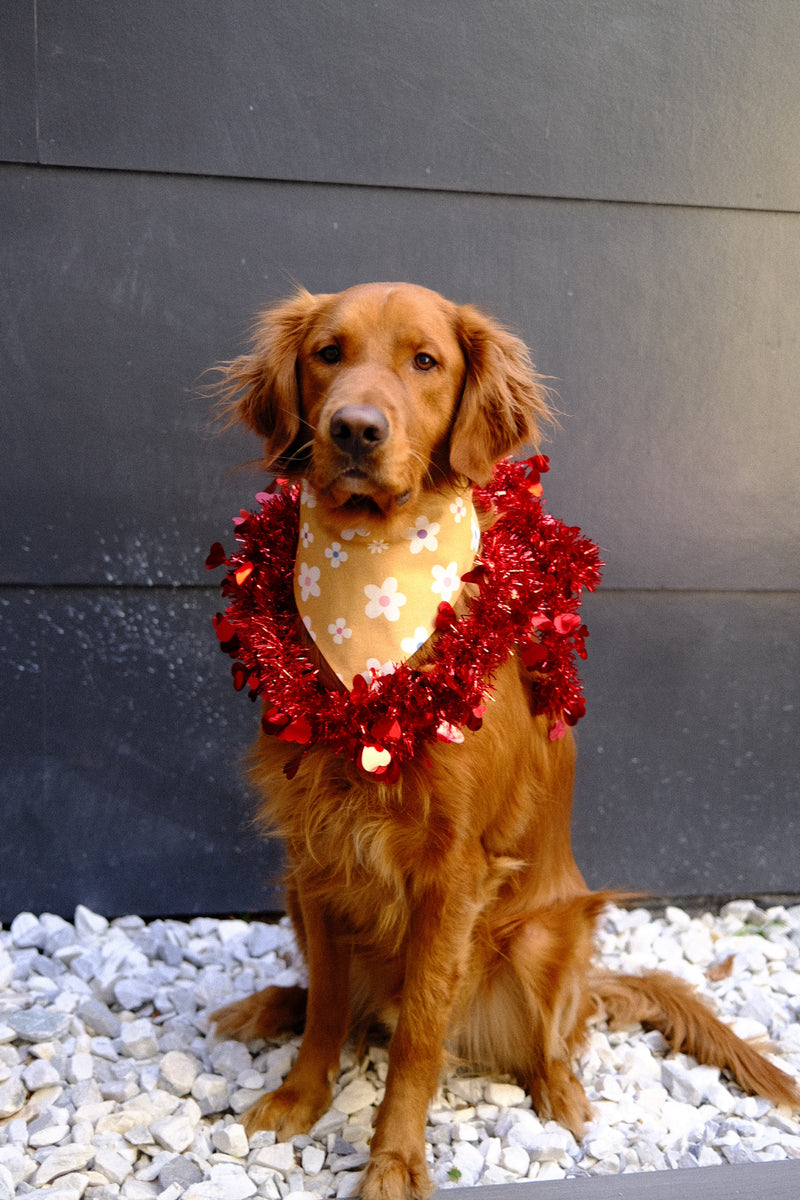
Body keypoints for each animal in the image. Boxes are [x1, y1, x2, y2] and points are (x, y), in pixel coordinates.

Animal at [209, 283, 796, 1200]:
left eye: (425, 361)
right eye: (328, 354)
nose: (354, 430)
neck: (369, 596)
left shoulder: (453, 872)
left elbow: (420, 1034)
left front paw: (394, 1162)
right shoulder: (318, 849)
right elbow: (331, 1006)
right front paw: (300, 1098)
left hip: (543, 936)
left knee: (555, 1033)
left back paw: (563, 1095)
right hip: (296, 896)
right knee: (333, 999)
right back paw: (266, 1005)